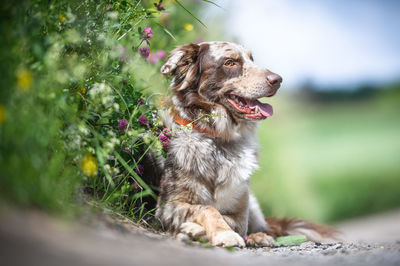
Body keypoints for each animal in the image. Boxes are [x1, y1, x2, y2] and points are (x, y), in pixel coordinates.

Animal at [153, 41, 338, 247]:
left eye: (252, 59)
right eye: (230, 62)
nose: (278, 79)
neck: (219, 139)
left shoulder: (241, 212)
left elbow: (231, 221)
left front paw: (205, 231)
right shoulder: (166, 207)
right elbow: (207, 209)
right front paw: (221, 233)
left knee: (265, 230)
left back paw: (260, 237)